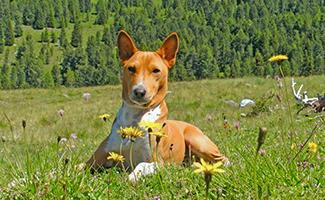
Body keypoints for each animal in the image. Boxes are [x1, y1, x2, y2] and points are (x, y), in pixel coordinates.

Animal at [86, 30, 228, 180]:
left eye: (156, 70)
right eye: (131, 68)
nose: (139, 91)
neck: (135, 117)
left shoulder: (157, 162)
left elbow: (141, 165)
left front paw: (130, 178)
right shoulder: (94, 161)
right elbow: (80, 167)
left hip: (197, 142)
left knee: (222, 159)